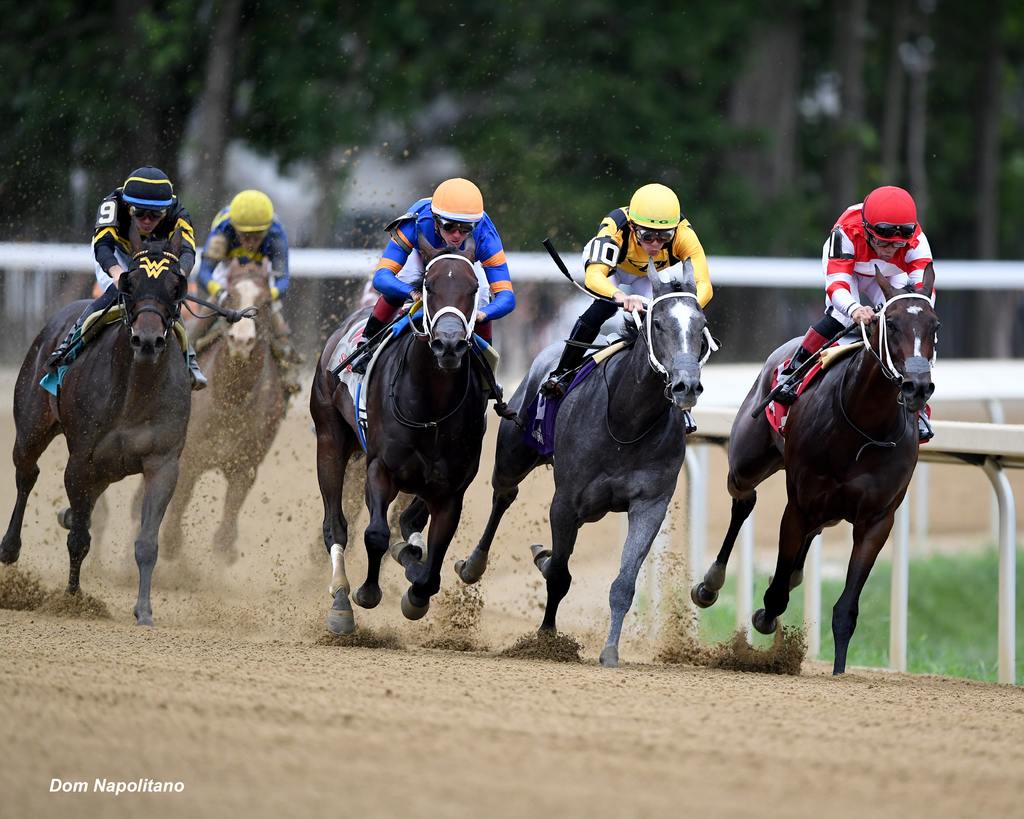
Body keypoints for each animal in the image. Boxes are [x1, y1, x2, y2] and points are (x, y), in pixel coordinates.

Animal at [0, 239, 192, 622]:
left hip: (109, 468)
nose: (147, 340)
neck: (137, 390)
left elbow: (147, 542)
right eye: (129, 284)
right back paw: (9, 549)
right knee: (26, 474)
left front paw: (143, 610)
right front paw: (73, 600)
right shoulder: (81, 460)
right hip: (31, 426)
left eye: (174, 287)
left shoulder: (163, 462)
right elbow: (79, 538)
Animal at [309, 236, 485, 634]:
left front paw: (416, 595)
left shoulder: (451, 489)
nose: (449, 344)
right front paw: (366, 593)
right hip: (330, 439)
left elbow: (432, 561)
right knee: (335, 526)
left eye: (474, 288)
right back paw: (341, 600)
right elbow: (375, 534)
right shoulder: (380, 468)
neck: (432, 409)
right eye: (429, 286)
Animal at [456, 262, 712, 663]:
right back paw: (472, 565)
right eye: (657, 324)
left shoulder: (650, 504)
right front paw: (546, 639)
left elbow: (623, 582)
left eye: (700, 326)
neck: (626, 421)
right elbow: (560, 575)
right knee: (503, 497)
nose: (686, 386)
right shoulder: (565, 502)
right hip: (513, 455)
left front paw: (609, 651)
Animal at [692, 268, 937, 671]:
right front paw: (764, 617)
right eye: (891, 324)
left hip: (830, 509)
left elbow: (846, 610)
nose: (917, 386)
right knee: (744, 500)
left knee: (812, 532)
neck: (865, 427)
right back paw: (710, 584)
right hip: (747, 463)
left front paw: (838, 670)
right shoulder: (799, 505)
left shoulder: (877, 520)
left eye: (935, 325)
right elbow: (775, 596)